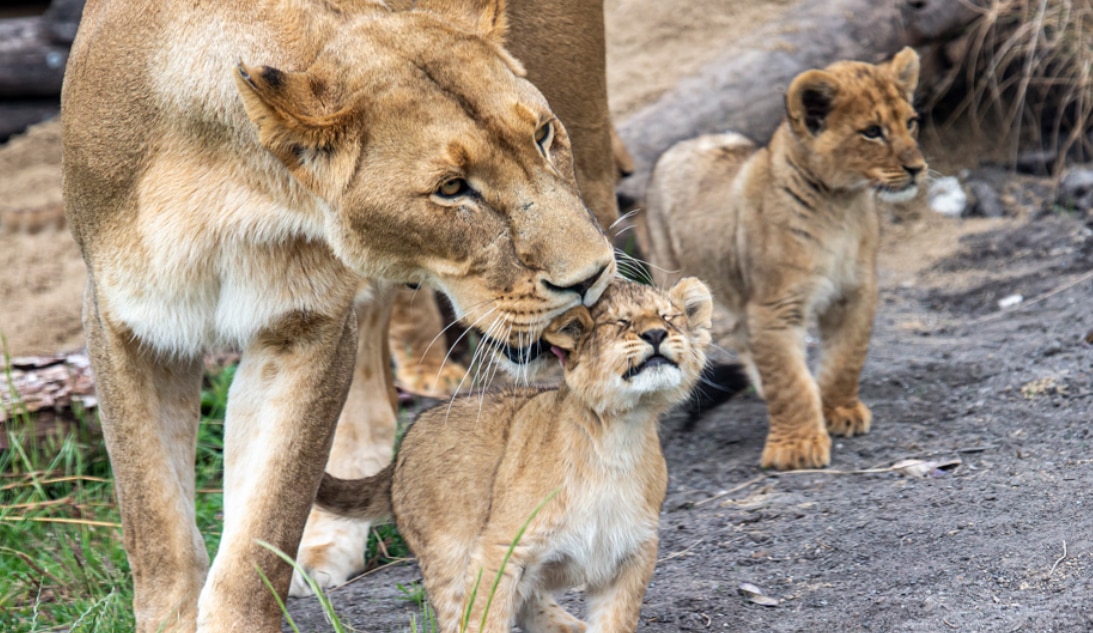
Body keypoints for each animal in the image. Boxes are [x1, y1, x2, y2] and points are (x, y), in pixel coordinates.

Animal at [61, 0, 620, 629]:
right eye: (452, 188)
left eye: (542, 135)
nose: (589, 277)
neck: (233, 183)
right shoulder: (125, 325)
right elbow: (156, 526)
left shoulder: (304, 327)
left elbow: (263, 528)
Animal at [315, 277, 713, 633]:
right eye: (620, 323)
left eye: (669, 318)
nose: (656, 334)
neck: (618, 435)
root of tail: (404, 446)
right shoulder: (500, 550)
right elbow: (484, 619)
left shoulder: (630, 557)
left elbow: (614, 623)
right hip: (448, 557)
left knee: (530, 604)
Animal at [636, 48, 926, 471]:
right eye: (872, 131)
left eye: (910, 123)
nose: (918, 169)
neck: (839, 206)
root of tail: (683, 143)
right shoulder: (775, 305)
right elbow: (790, 380)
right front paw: (797, 447)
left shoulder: (854, 293)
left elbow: (846, 358)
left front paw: (840, 411)